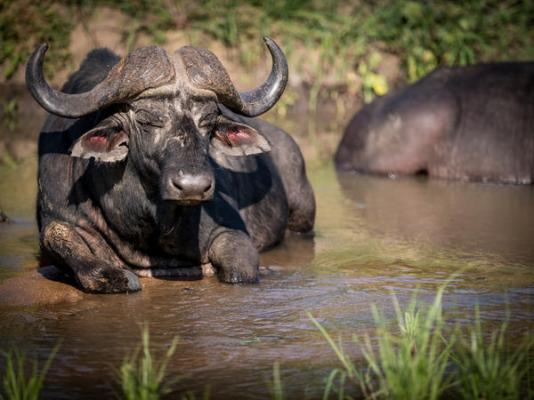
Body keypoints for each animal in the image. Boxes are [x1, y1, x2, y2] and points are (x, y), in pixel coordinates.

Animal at [26, 37, 318, 294]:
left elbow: (239, 272)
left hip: (303, 217)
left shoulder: (232, 234)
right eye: (146, 120)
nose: (192, 187)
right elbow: (58, 235)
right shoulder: (58, 216)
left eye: (208, 122)